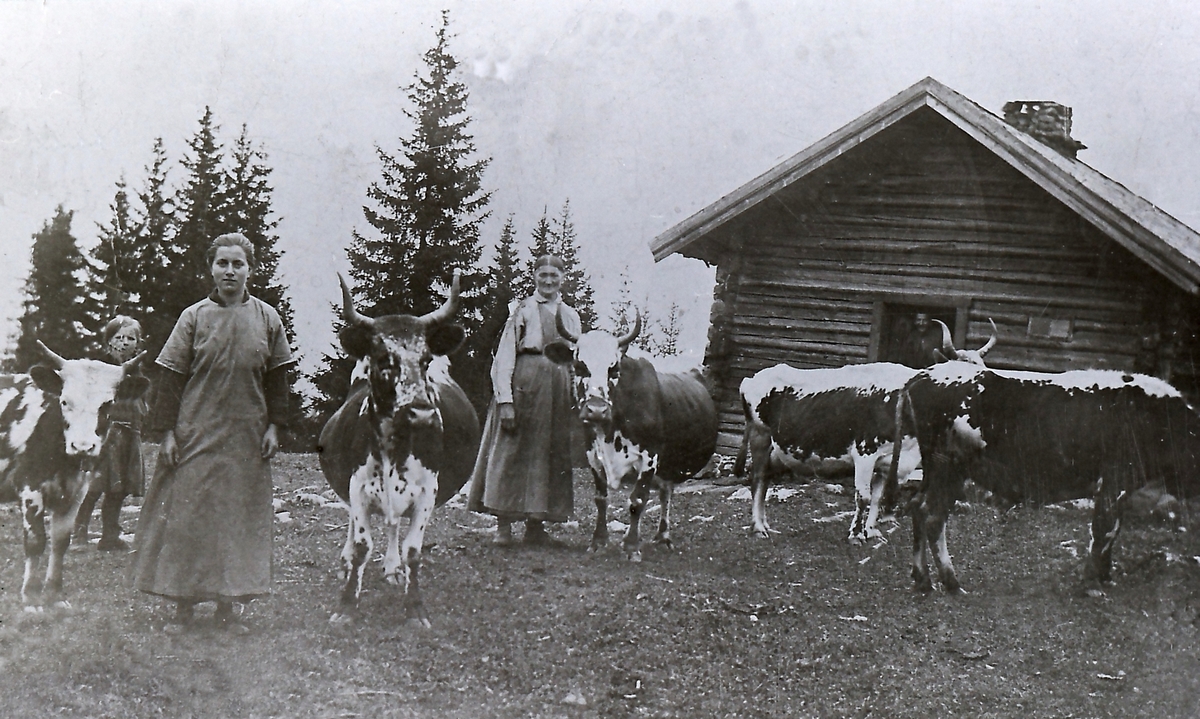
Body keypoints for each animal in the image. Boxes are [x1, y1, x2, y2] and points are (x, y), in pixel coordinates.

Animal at [316, 272, 480, 628]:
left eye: (425, 360)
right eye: (383, 360)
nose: (421, 412)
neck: (393, 446)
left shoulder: (427, 491)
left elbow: (413, 550)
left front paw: (415, 607)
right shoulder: (358, 487)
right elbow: (362, 545)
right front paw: (346, 604)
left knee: (393, 526)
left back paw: (393, 568)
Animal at [902, 362, 1200, 592]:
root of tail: (925, 374)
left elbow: (1113, 530)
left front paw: (1105, 578)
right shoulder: (1114, 481)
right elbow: (1104, 529)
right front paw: (1091, 583)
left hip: (936, 470)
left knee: (917, 506)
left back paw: (923, 579)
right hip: (947, 467)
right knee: (933, 517)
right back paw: (951, 583)